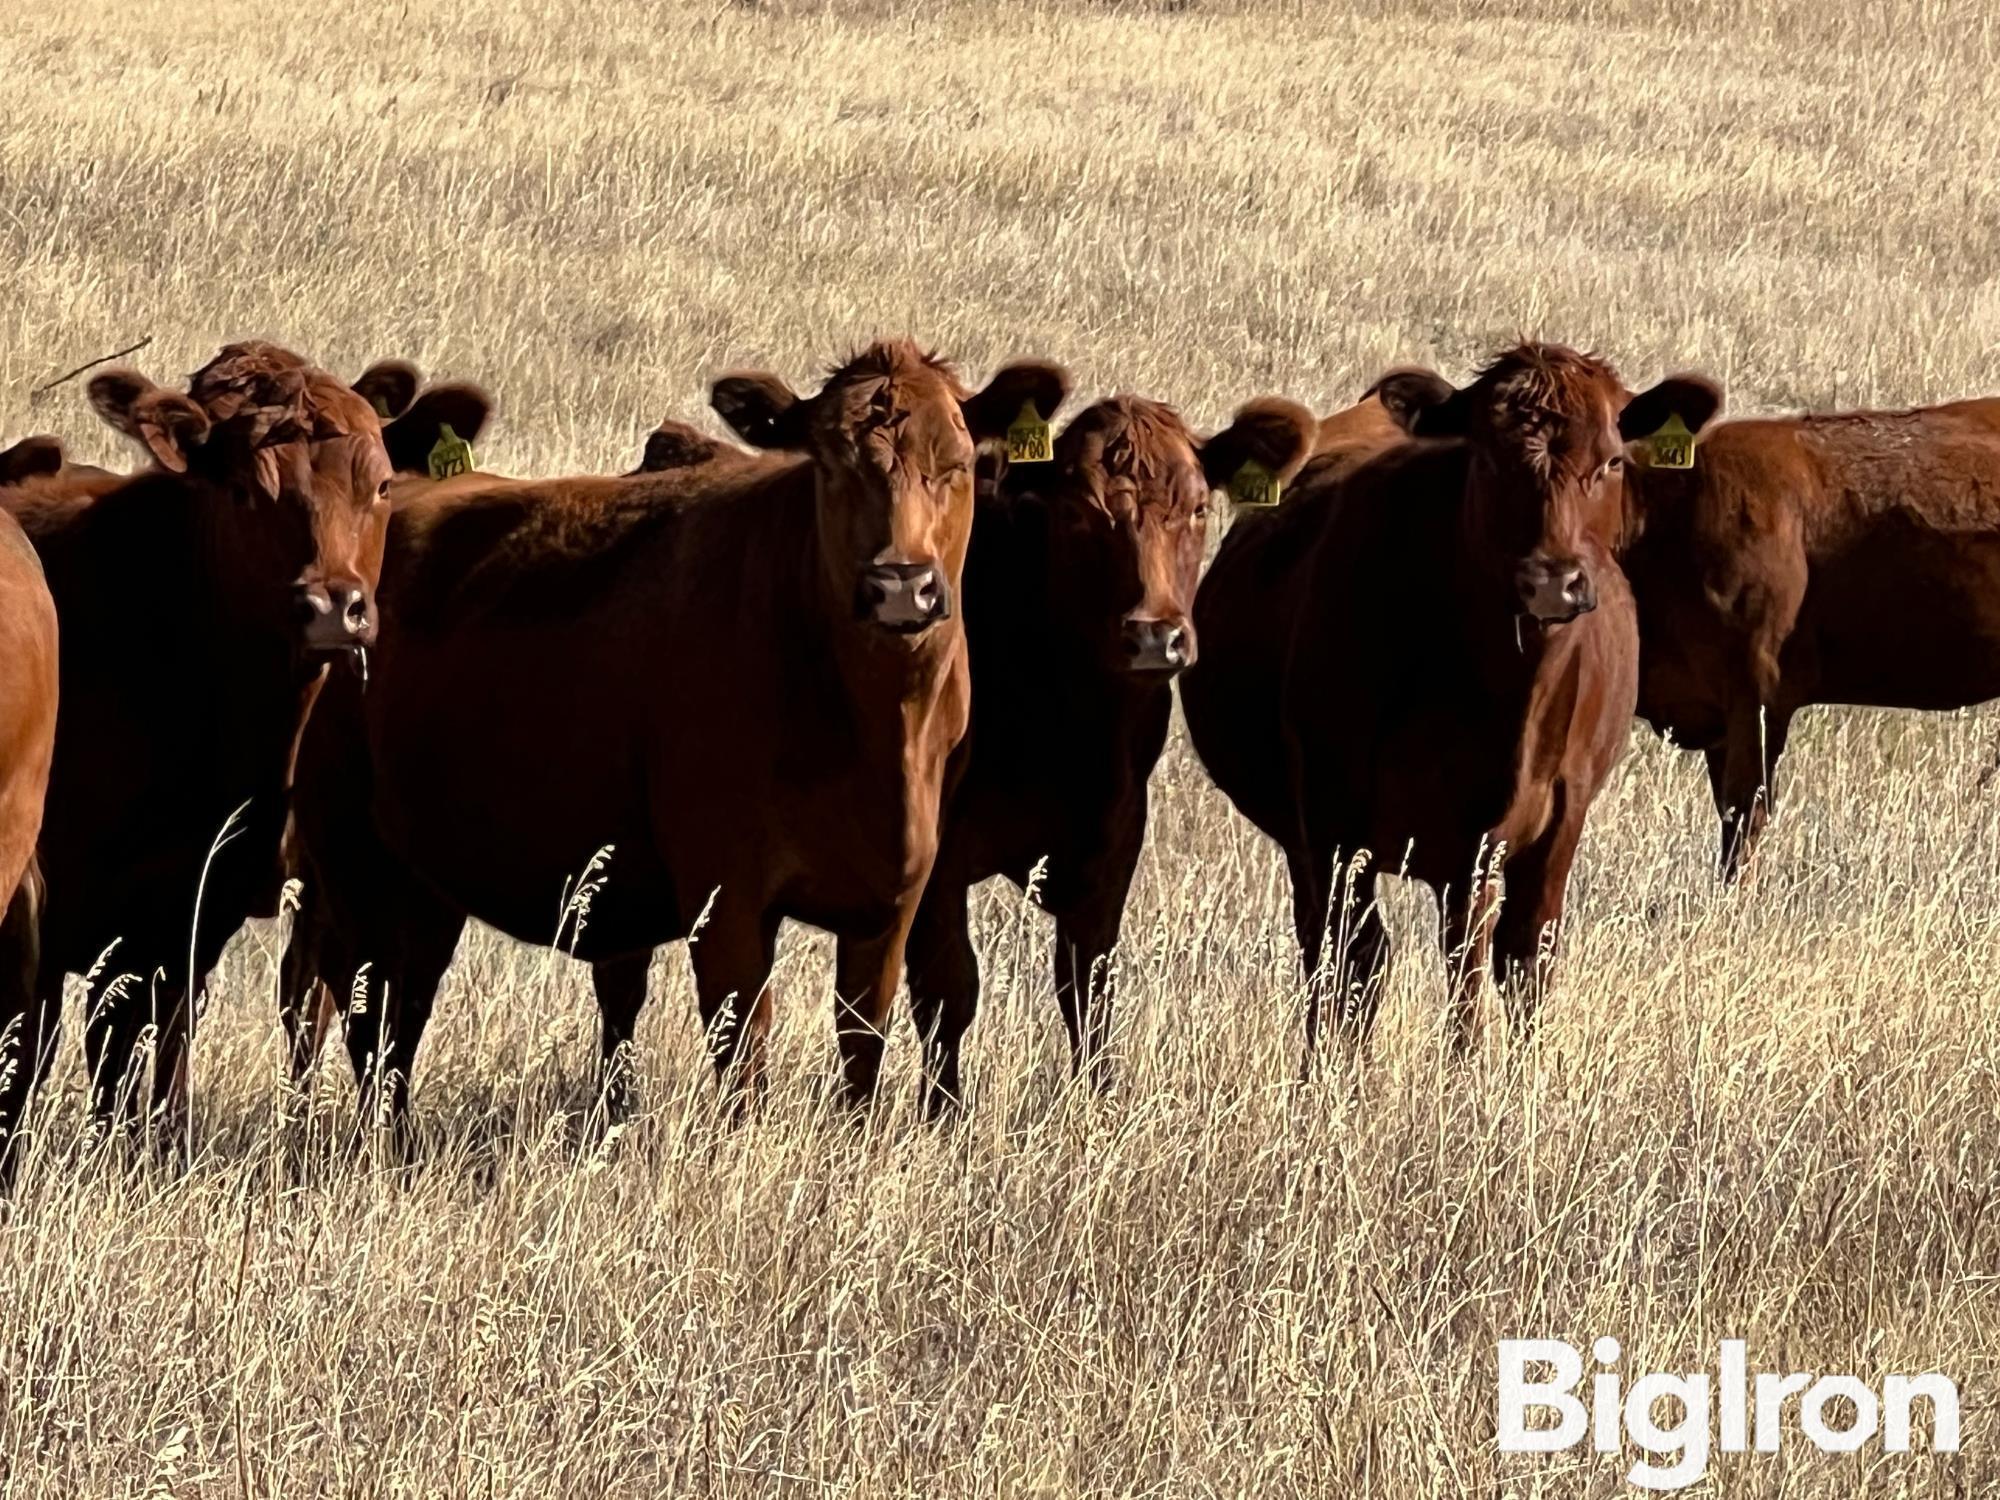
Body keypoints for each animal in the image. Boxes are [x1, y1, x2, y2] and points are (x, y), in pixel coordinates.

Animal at [282, 340, 1072, 1136]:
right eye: (829, 465)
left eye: (960, 462)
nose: (902, 586)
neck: (873, 727)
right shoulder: (724, 892)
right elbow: (743, 1043)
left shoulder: (897, 890)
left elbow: (863, 1040)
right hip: (351, 857)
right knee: (350, 1008)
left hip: (421, 874)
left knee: (396, 1011)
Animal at [904, 394, 1312, 1112]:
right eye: (1077, 514)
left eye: (1199, 507)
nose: (1154, 636)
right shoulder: (939, 853)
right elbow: (947, 986)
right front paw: (943, 1116)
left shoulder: (1115, 832)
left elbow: (1087, 981)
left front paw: (1096, 1102)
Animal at [1184, 350, 1720, 1056]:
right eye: (1488, 461)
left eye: (1611, 463)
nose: (1553, 580)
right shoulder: (1332, 817)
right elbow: (1358, 959)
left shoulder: (1549, 819)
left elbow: (1516, 958)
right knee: (1336, 950)